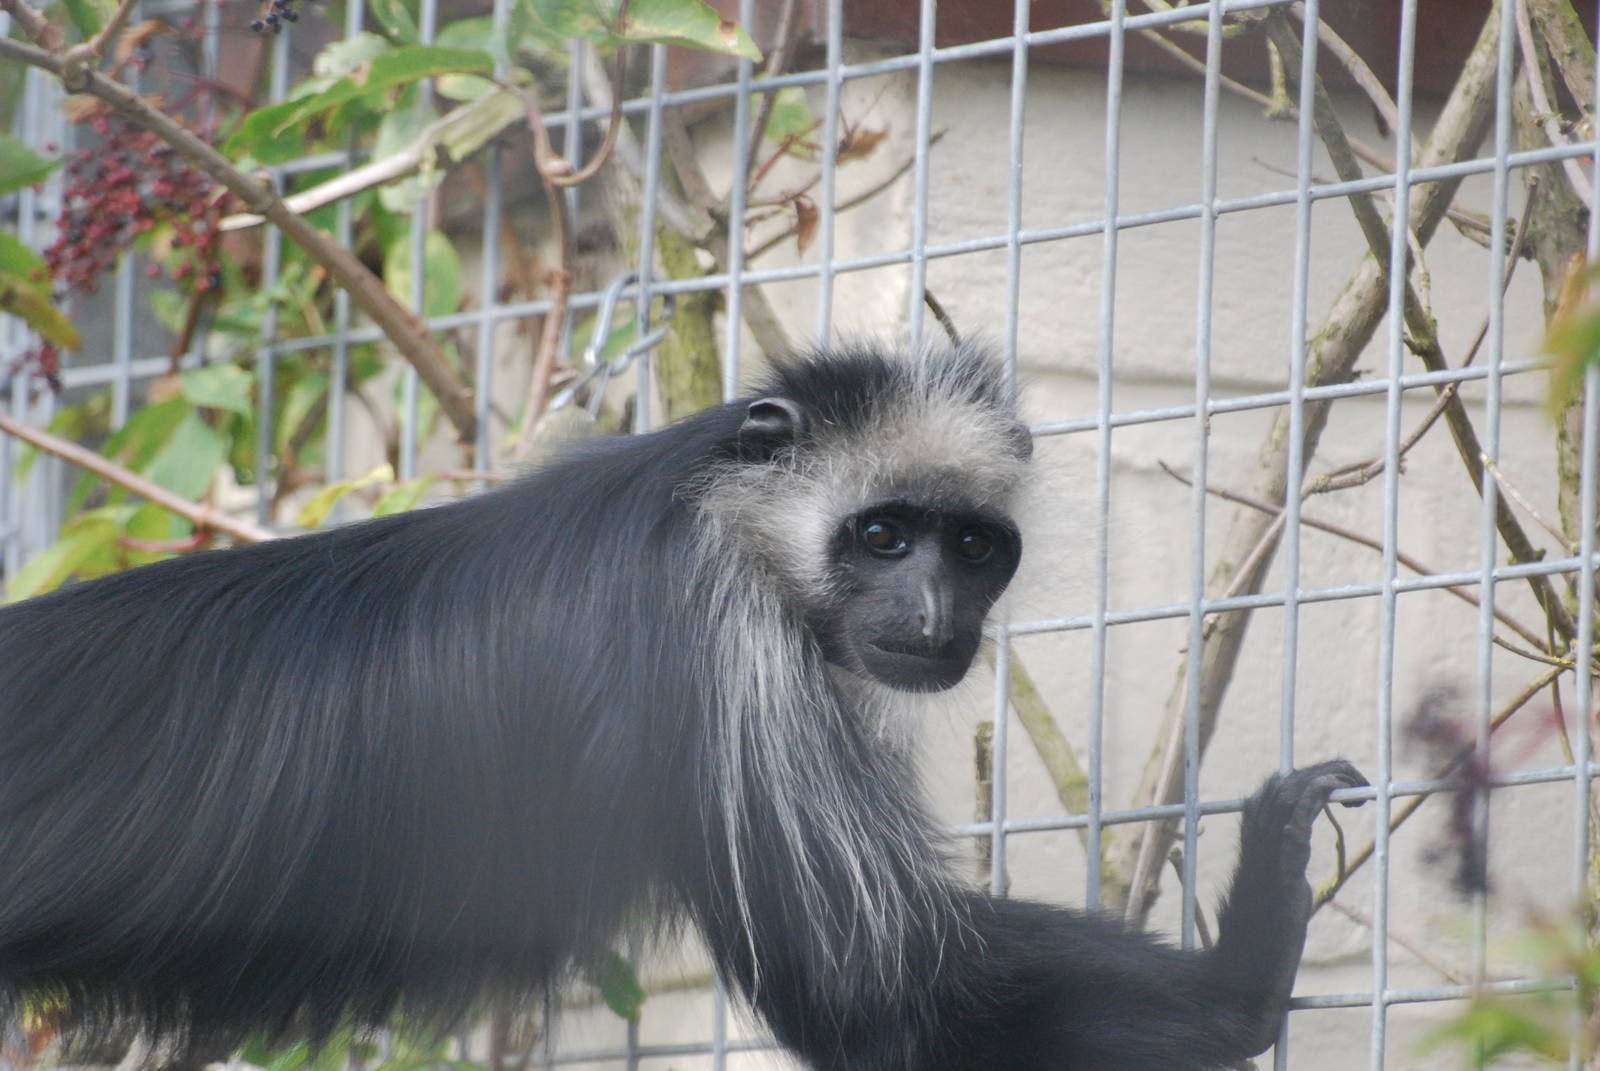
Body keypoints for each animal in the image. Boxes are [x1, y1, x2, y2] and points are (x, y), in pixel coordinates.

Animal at [0, 344, 1366, 1070]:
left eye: (973, 548)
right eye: (881, 536)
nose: (934, 615)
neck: (707, 499)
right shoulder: (714, 642)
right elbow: (882, 991)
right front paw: (1248, 964)